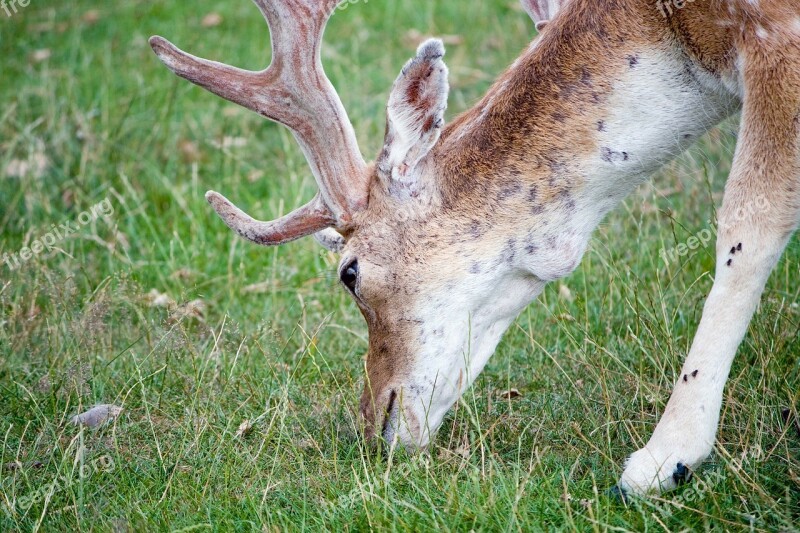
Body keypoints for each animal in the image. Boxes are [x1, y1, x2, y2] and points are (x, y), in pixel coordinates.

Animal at [150, 0, 800, 494]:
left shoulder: (776, 37)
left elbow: (748, 221)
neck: (679, 26)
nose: (373, 426)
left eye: (349, 273)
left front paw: (665, 459)